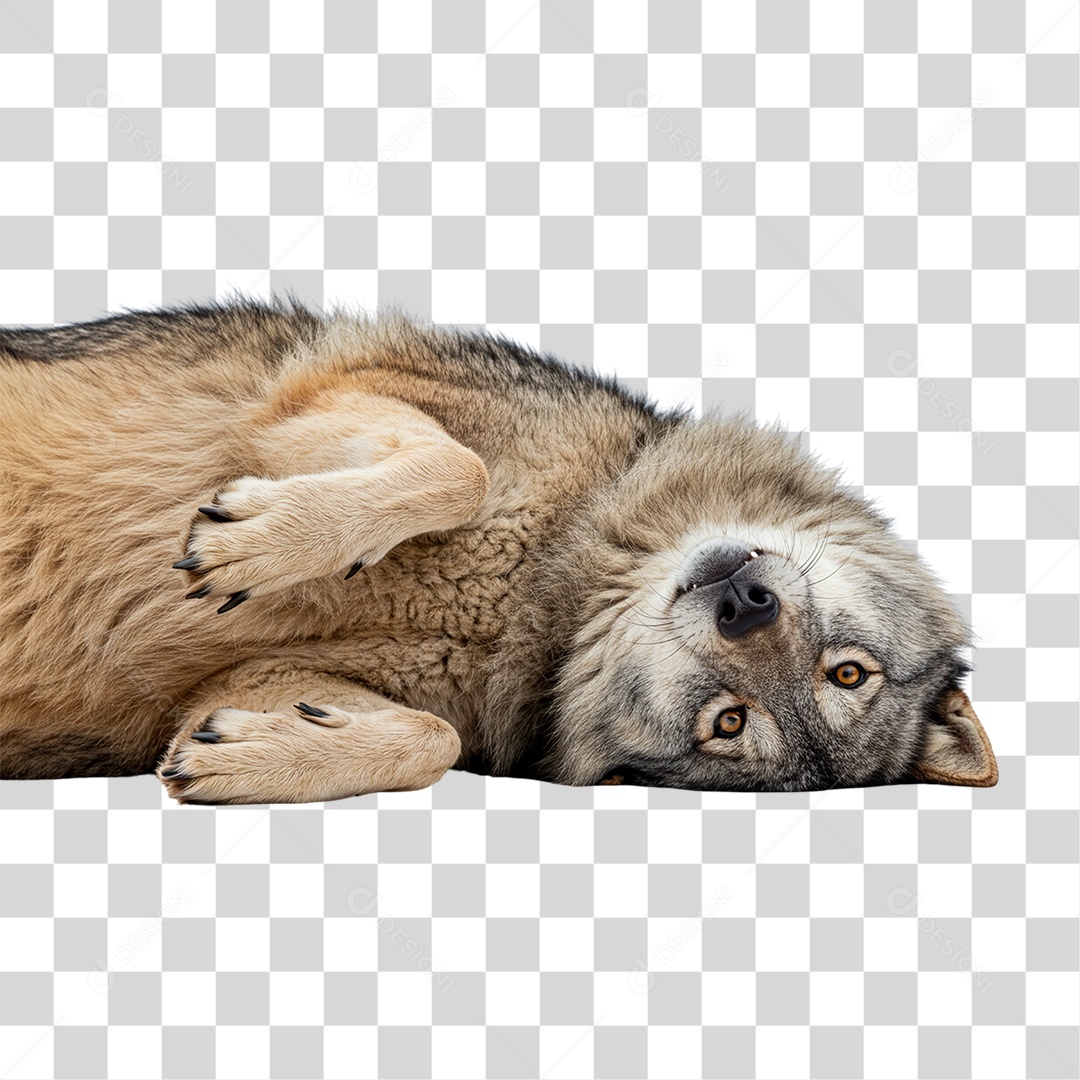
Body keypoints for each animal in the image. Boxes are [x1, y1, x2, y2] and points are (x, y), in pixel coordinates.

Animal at [0, 299, 996, 803]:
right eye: (849, 672)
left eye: (730, 723)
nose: (744, 605)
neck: (543, 585)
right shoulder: (324, 394)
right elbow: (461, 471)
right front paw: (250, 545)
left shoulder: (240, 684)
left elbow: (431, 743)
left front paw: (244, 760)